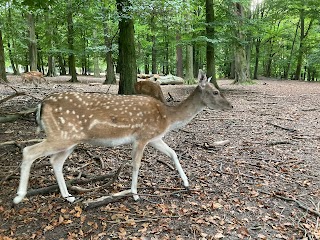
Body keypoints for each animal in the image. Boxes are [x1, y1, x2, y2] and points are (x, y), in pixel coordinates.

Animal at [13, 70, 232, 204]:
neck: (167, 118)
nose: (230, 105)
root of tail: (41, 104)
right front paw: (134, 194)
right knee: (29, 151)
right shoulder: (142, 136)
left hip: (69, 140)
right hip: (62, 135)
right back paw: (19, 197)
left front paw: (186, 183)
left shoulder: (155, 137)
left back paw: (68, 196)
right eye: (215, 91)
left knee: (55, 161)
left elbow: (173, 154)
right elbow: (136, 164)